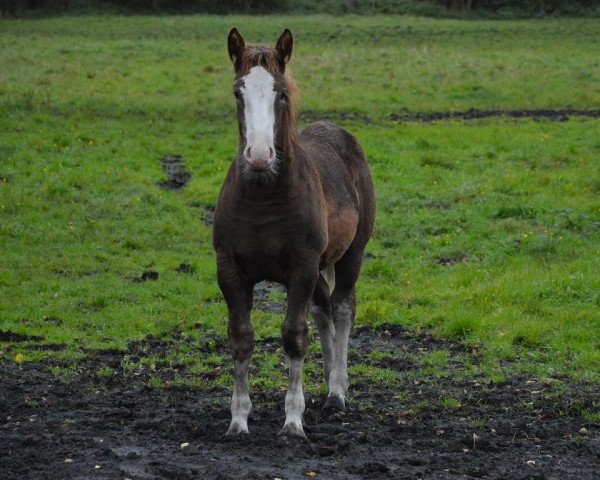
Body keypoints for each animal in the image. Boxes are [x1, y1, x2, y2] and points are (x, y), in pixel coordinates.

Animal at [212, 27, 376, 438]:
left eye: (281, 92)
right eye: (237, 92)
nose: (259, 155)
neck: (263, 198)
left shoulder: (301, 268)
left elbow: (293, 337)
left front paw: (292, 421)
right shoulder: (230, 271)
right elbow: (241, 338)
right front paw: (238, 420)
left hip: (352, 254)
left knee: (342, 307)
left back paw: (337, 391)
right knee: (322, 311)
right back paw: (329, 382)